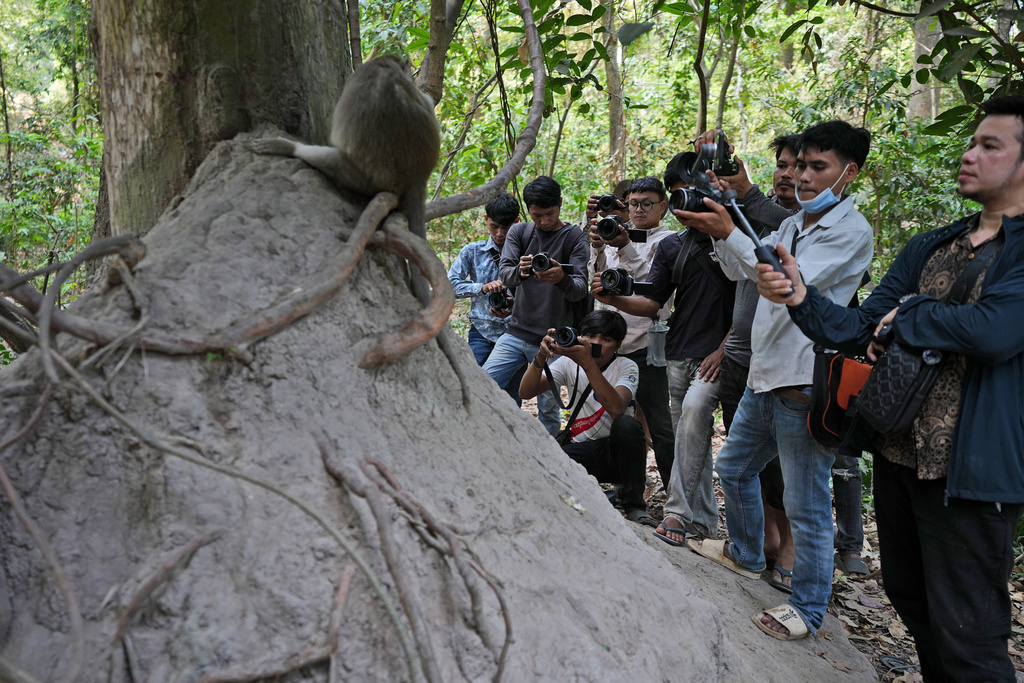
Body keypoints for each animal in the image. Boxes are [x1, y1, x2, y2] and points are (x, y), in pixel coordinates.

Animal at [252, 55, 440, 240]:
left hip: (368, 182)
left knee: (334, 160)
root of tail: (416, 176)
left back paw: (290, 147)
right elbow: (428, 103)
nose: (411, 78)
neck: (385, 63)